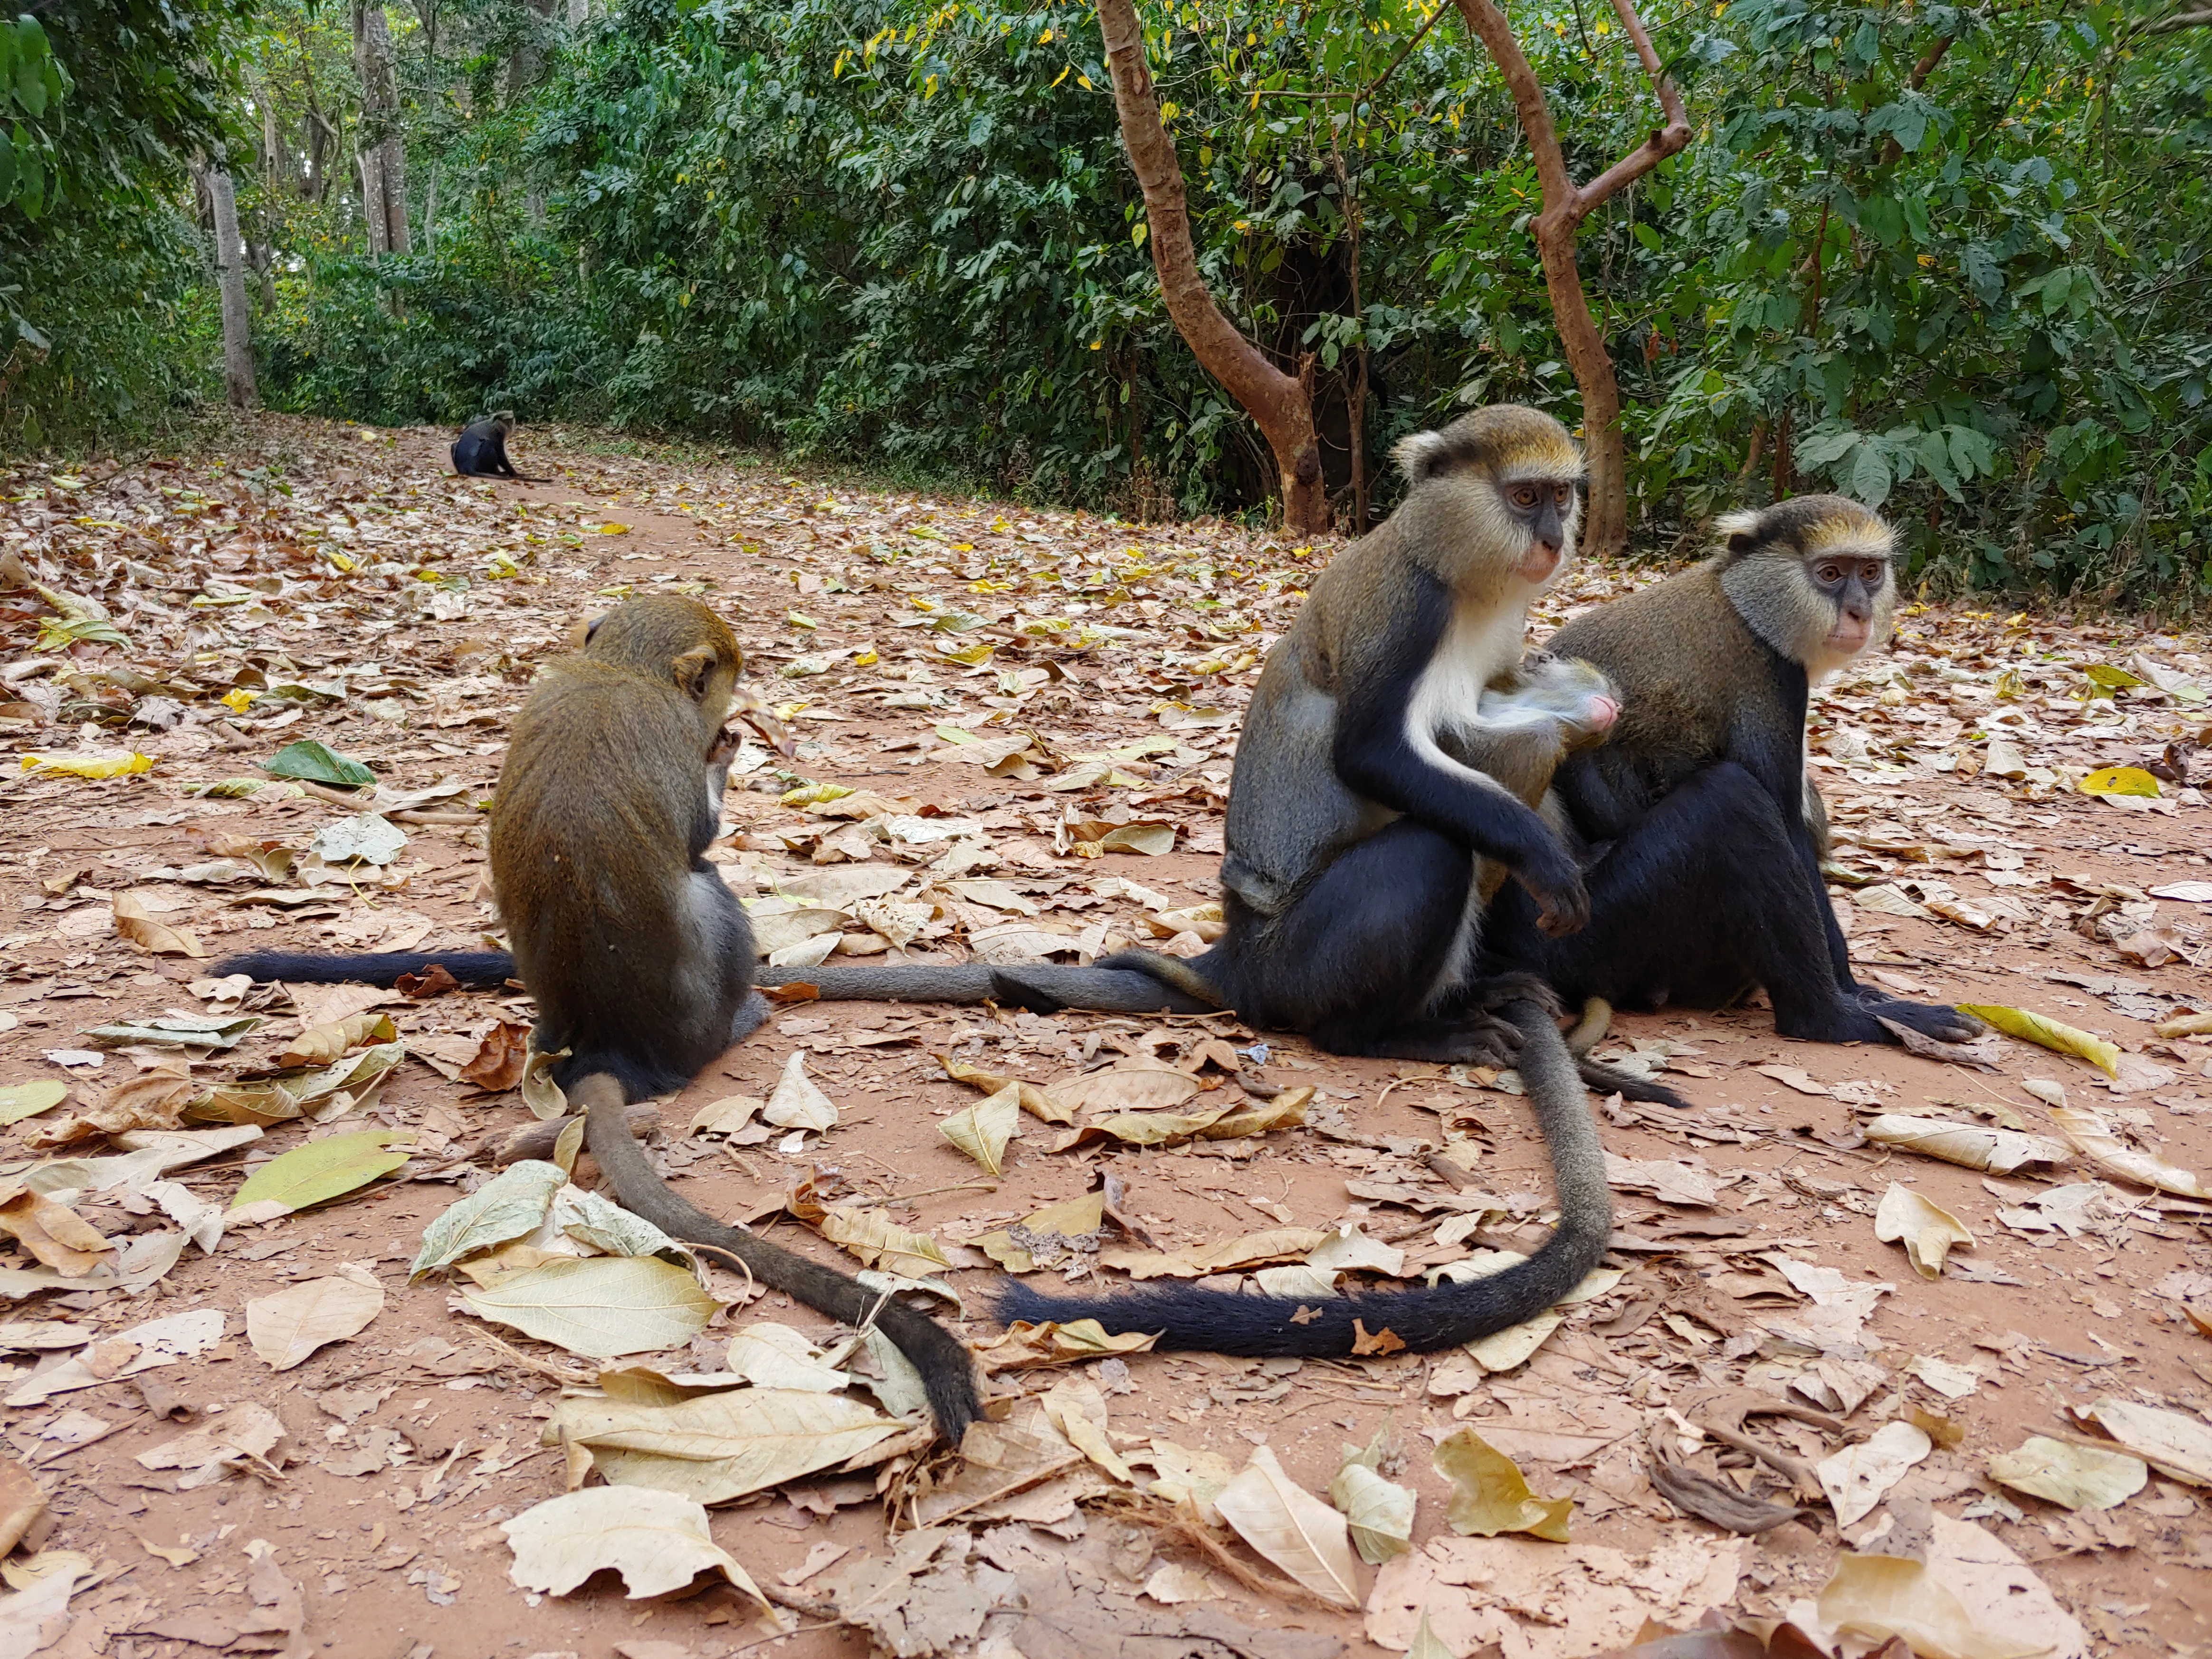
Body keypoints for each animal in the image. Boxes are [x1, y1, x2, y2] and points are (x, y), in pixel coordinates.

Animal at [215, 597, 981, 1444]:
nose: (729, 717)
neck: (621, 668)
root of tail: (605, 1047)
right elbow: (699, 838)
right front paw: (725, 752)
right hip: (702, 1008)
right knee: (709, 883)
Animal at [452, 411, 545, 482]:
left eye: (511, 420)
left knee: (453, 445)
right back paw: (498, 473)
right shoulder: (497, 437)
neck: (495, 425)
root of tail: (467, 466)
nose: (510, 426)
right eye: (506, 421)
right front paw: (516, 474)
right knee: (489, 445)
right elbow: (501, 455)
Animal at [1480, 494, 1981, 1048]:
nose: (1859, 610)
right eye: (1830, 574)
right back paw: (1832, 1019)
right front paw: (1856, 993)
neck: (1745, 605)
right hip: (1583, 938)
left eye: (1869, 573)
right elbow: (1787, 827)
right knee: (1729, 799)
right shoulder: (1770, 680)